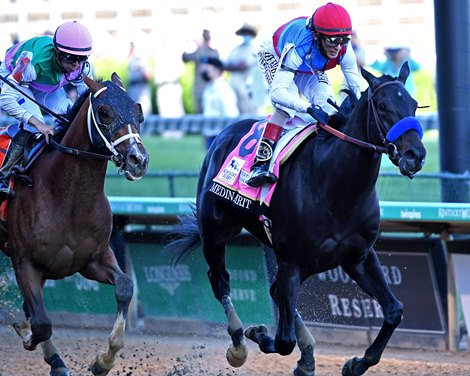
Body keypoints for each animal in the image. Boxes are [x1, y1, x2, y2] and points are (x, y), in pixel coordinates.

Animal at [0, 73, 149, 376]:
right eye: (104, 112)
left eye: (138, 110)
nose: (138, 159)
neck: (68, 200)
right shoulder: (24, 262)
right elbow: (40, 323)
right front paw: (28, 334)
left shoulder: (92, 259)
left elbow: (125, 286)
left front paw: (103, 360)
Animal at [165, 63, 426, 374]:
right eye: (384, 106)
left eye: (413, 104)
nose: (416, 155)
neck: (336, 187)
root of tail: (224, 132)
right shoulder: (291, 260)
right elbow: (283, 341)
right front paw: (259, 334)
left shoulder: (358, 256)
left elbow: (394, 310)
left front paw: (356, 363)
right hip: (215, 232)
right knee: (221, 281)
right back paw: (239, 343)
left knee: (274, 290)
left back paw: (307, 353)